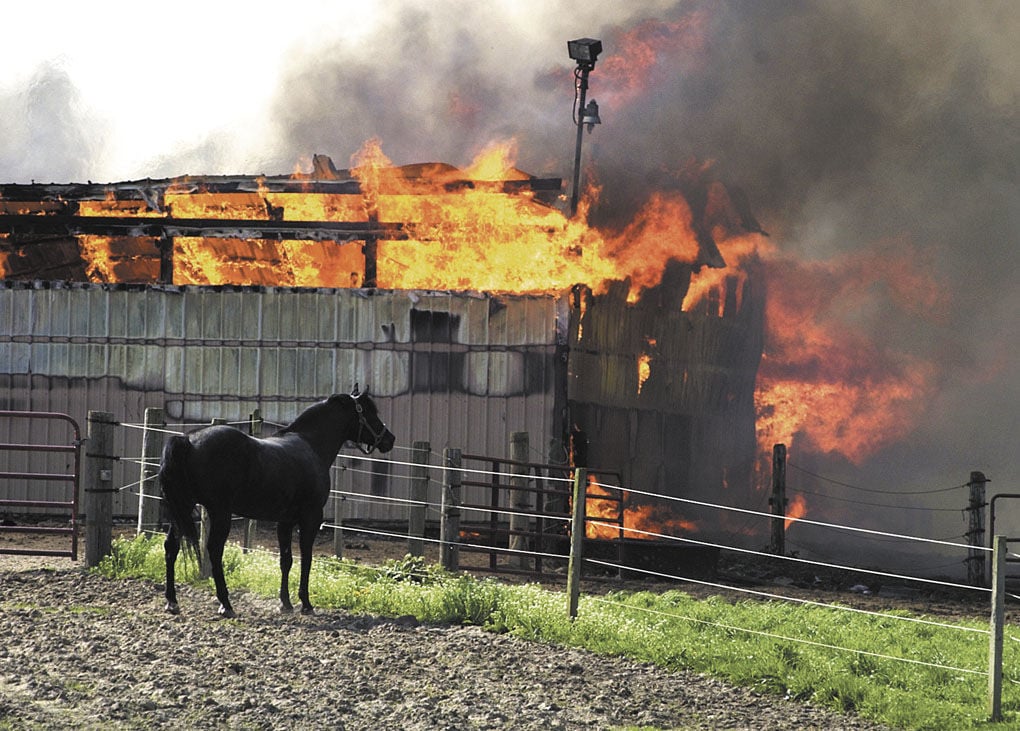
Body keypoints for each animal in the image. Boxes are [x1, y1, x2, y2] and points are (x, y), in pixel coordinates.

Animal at [159, 387, 393, 615]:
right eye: (369, 412)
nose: (389, 439)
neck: (311, 445)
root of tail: (188, 441)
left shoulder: (285, 521)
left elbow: (286, 560)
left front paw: (285, 603)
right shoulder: (311, 517)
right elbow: (306, 558)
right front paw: (306, 604)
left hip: (183, 508)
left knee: (171, 547)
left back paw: (172, 601)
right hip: (220, 512)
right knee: (215, 551)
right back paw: (226, 605)